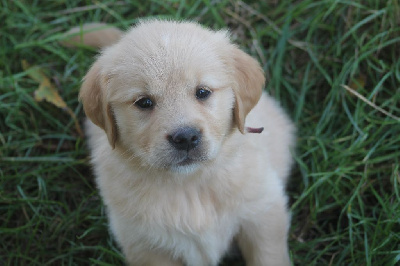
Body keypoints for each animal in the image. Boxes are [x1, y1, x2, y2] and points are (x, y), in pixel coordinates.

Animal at [69, 19, 296, 264]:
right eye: (144, 102)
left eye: (203, 92)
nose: (186, 137)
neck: (189, 185)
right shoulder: (145, 245)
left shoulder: (263, 212)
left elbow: (268, 255)